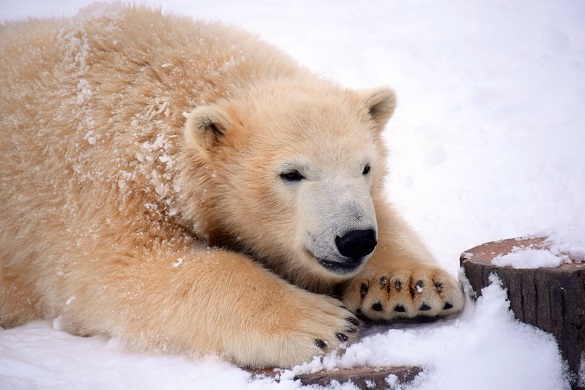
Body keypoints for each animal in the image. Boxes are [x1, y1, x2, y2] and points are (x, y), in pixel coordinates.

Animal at [1, 4, 466, 368]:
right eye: (291, 173)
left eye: (366, 167)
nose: (355, 240)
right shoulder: (101, 185)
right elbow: (124, 270)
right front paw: (321, 322)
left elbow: (386, 215)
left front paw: (407, 286)